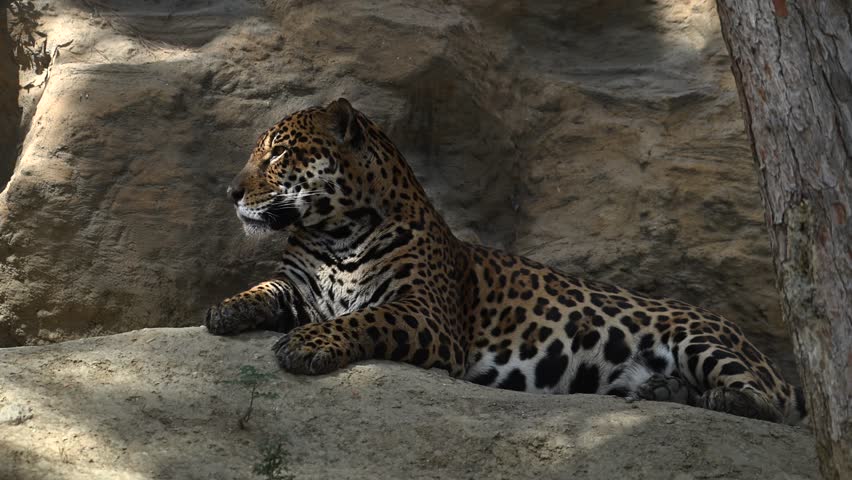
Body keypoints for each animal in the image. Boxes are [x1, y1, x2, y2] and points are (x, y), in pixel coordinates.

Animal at [205, 98, 807, 425]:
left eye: (280, 153)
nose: (230, 192)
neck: (335, 234)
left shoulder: (427, 315)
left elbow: (365, 317)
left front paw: (308, 344)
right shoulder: (298, 288)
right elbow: (264, 290)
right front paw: (224, 310)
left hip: (703, 339)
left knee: (772, 406)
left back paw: (717, 398)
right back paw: (662, 391)